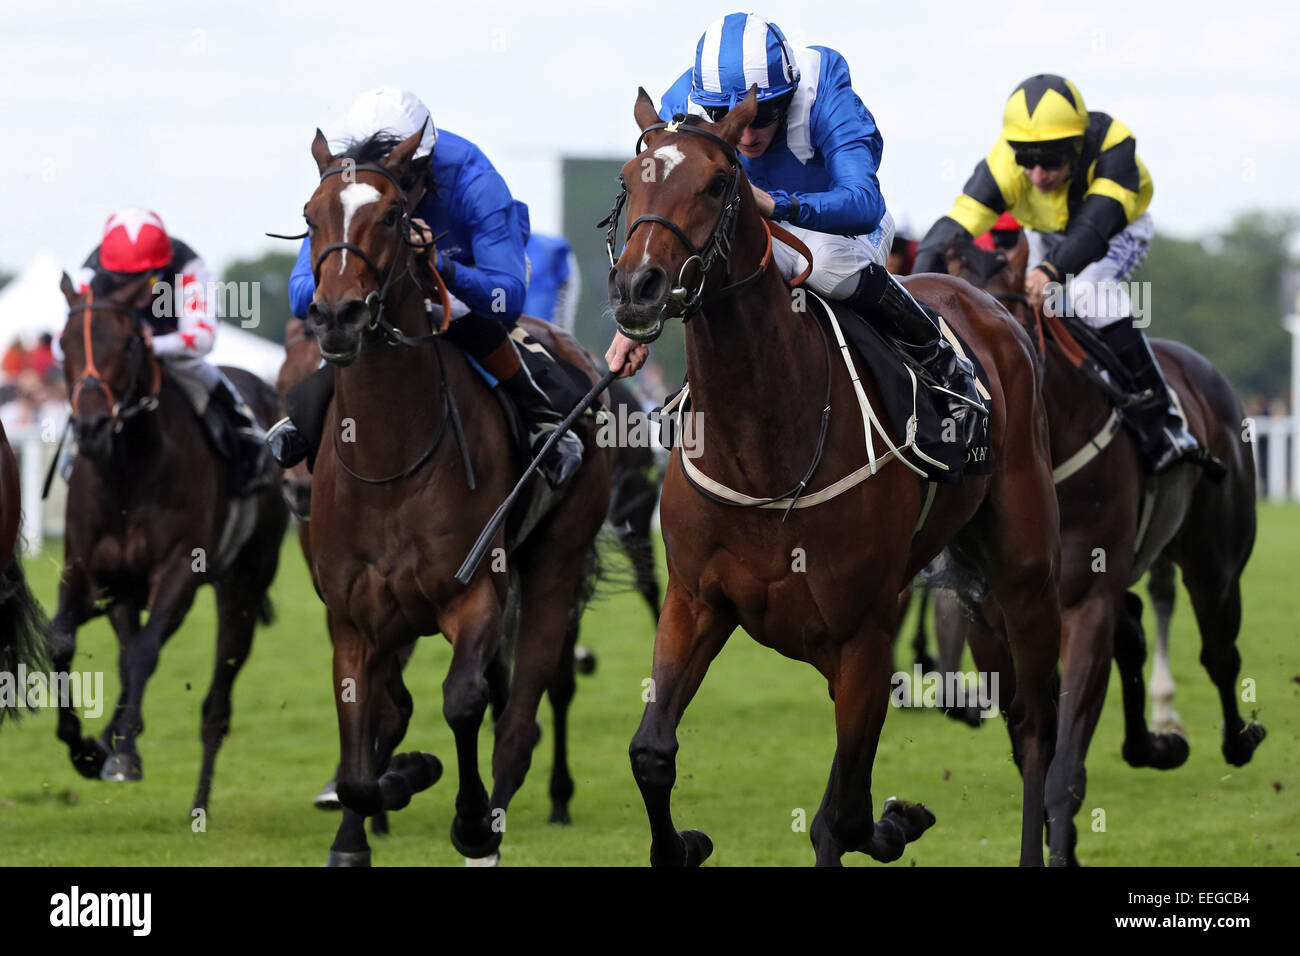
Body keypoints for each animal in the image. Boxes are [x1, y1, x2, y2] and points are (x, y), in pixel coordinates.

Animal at [50, 270, 287, 816]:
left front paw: (119, 754)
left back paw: (197, 800)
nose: (91, 426)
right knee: (127, 649)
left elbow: (143, 656)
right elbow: (61, 642)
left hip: (242, 585)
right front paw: (85, 748)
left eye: (129, 345)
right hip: (129, 593)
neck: (126, 474)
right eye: (62, 343)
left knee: (215, 701)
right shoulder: (90, 575)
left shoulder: (179, 570)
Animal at [299, 127, 613, 868]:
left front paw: (461, 813)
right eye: (309, 216)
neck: (389, 462)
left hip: (554, 565)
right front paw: (376, 805)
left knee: (519, 720)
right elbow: (362, 750)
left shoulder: (473, 596)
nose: (337, 315)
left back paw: (489, 829)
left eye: (391, 216)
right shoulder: (353, 615)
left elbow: (464, 702)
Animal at [613, 89, 1060, 868]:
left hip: (1023, 567)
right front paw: (685, 842)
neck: (763, 446)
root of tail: (988, 306)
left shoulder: (860, 636)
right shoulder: (696, 601)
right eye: (630, 179)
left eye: (717, 184)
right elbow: (652, 752)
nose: (638, 287)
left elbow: (839, 818)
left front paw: (893, 820)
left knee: (1034, 723)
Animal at [946, 234, 1258, 868]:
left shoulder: (1086, 603)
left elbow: (1064, 762)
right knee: (1136, 630)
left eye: (1002, 325)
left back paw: (1237, 738)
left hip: (1215, 563)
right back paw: (1155, 745)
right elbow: (1031, 741)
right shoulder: (989, 621)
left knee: (1218, 652)